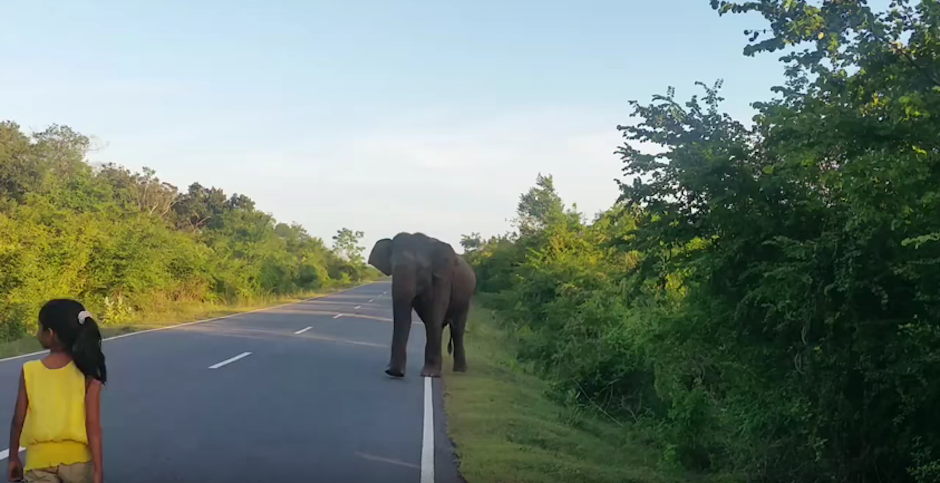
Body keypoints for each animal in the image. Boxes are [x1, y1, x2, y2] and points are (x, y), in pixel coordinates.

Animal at [370, 232, 478, 378]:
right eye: (392, 266)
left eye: (421, 269)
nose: (392, 372)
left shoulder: (443, 278)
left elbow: (433, 317)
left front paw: (430, 374)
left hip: (466, 298)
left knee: (456, 329)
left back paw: (459, 370)